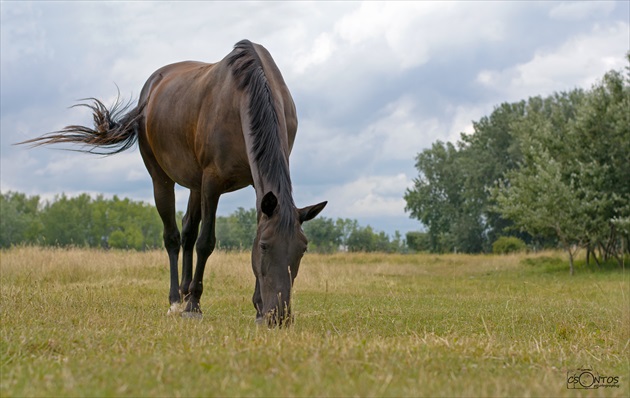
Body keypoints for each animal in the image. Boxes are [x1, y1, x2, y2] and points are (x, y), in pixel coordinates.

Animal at [21, 39, 326, 326]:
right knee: (173, 236)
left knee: (188, 229)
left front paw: (258, 308)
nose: (280, 316)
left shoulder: (254, 186)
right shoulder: (212, 182)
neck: (244, 94)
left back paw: (184, 290)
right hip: (163, 179)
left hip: (194, 184)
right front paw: (194, 306)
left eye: (302, 248)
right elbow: (206, 242)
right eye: (264, 246)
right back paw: (176, 301)